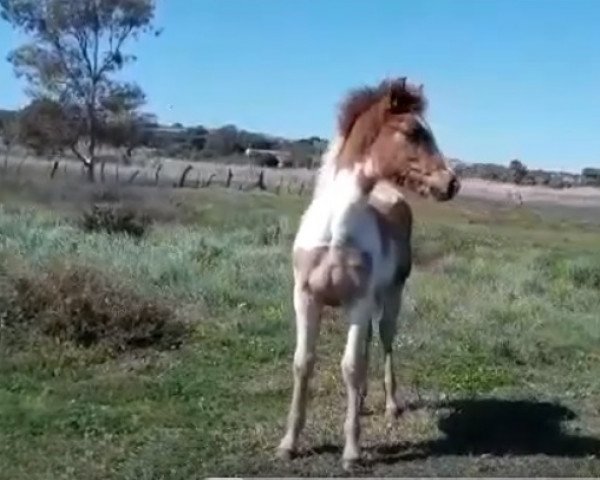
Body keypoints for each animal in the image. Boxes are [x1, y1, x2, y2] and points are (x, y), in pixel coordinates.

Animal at [276, 77, 460, 470]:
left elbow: (351, 366)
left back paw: (390, 406)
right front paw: (288, 443)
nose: (452, 184)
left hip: (391, 296)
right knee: (369, 346)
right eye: (414, 131)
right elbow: (303, 363)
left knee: (385, 341)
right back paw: (360, 403)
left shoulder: (357, 302)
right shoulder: (305, 297)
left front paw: (351, 452)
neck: (335, 229)